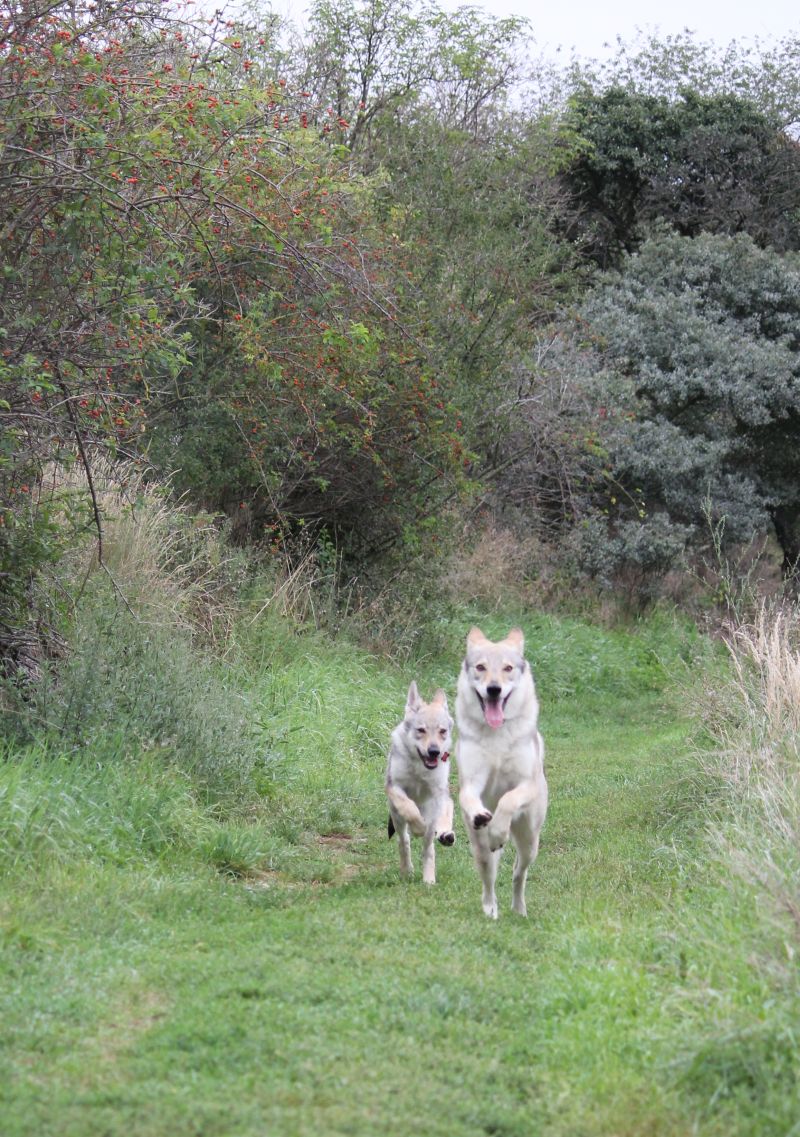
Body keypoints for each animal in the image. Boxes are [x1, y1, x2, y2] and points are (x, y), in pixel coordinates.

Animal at [386, 677, 456, 882]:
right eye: (421, 730)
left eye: (442, 731)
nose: (434, 751)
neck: (420, 768)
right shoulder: (394, 787)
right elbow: (409, 809)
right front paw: (417, 827)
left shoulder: (436, 795)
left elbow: (428, 846)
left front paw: (429, 879)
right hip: (396, 816)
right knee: (404, 840)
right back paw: (407, 871)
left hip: (441, 798)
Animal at [452, 627, 547, 918]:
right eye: (481, 667)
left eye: (507, 668)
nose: (494, 689)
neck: (496, 734)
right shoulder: (471, 782)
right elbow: (469, 798)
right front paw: (482, 816)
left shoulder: (526, 784)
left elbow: (508, 799)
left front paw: (497, 829)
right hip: (480, 850)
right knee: (489, 880)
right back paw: (491, 910)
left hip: (529, 842)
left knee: (518, 873)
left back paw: (519, 909)